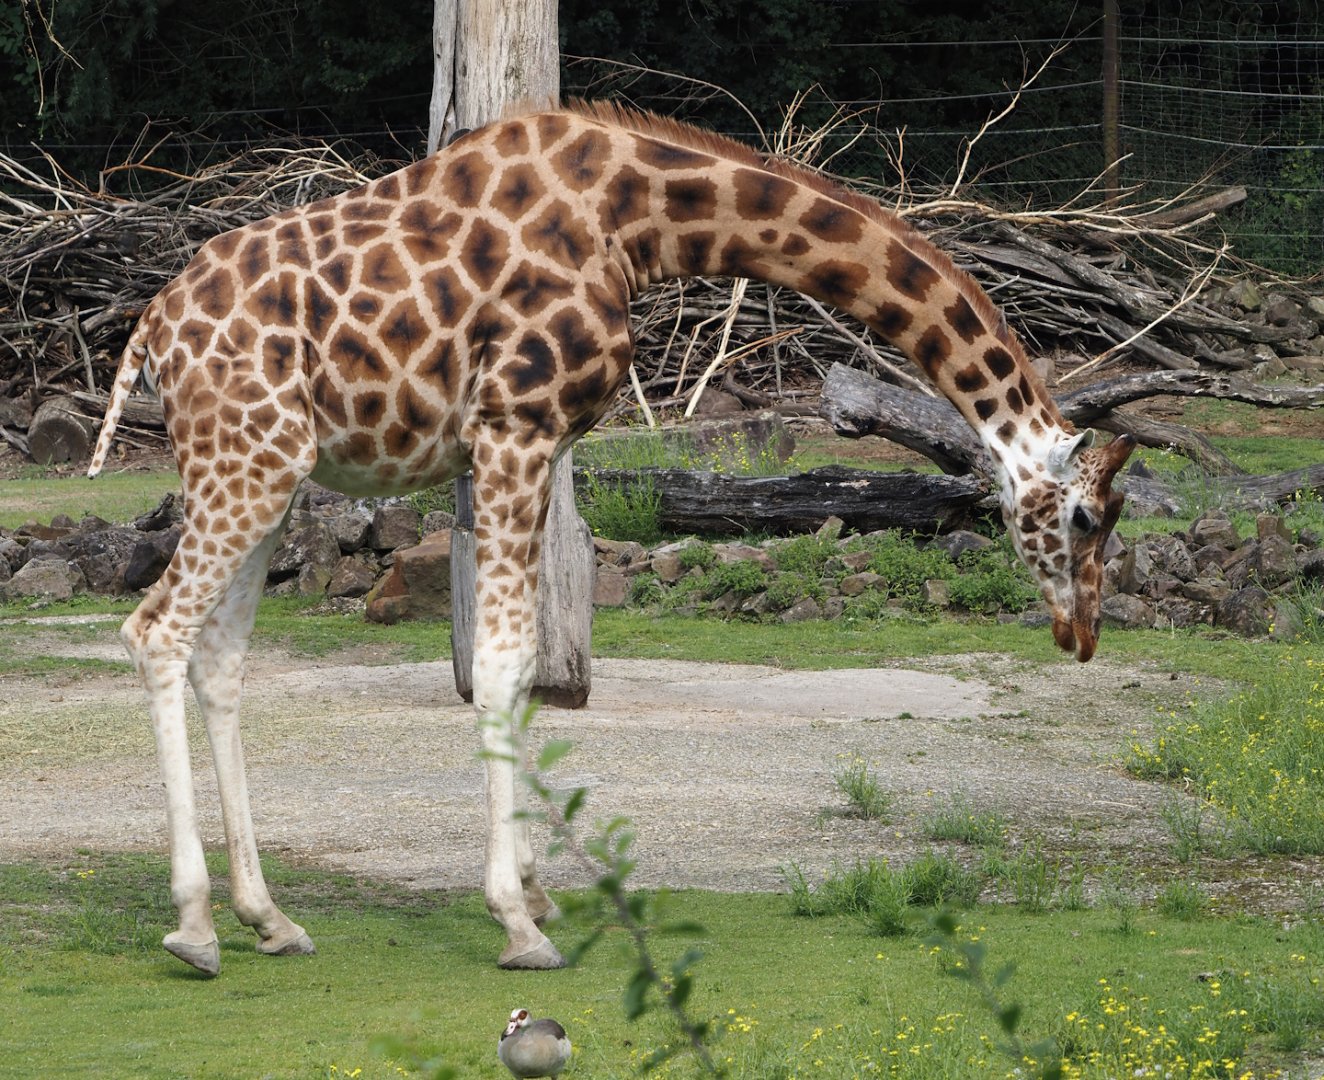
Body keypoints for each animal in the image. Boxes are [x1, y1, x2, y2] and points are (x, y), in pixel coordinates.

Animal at [88, 100, 1134, 976]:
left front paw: (539, 894)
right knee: (156, 631)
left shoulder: (536, 443)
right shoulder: (512, 426)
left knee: (220, 657)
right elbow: (503, 660)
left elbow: (530, 666)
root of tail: (149, 335)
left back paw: (269, 918)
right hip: (246, 457)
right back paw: (194, 928)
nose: (1082, 634)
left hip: (268, 468)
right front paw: (518, 923)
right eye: (1086, 517)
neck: (634, 222)